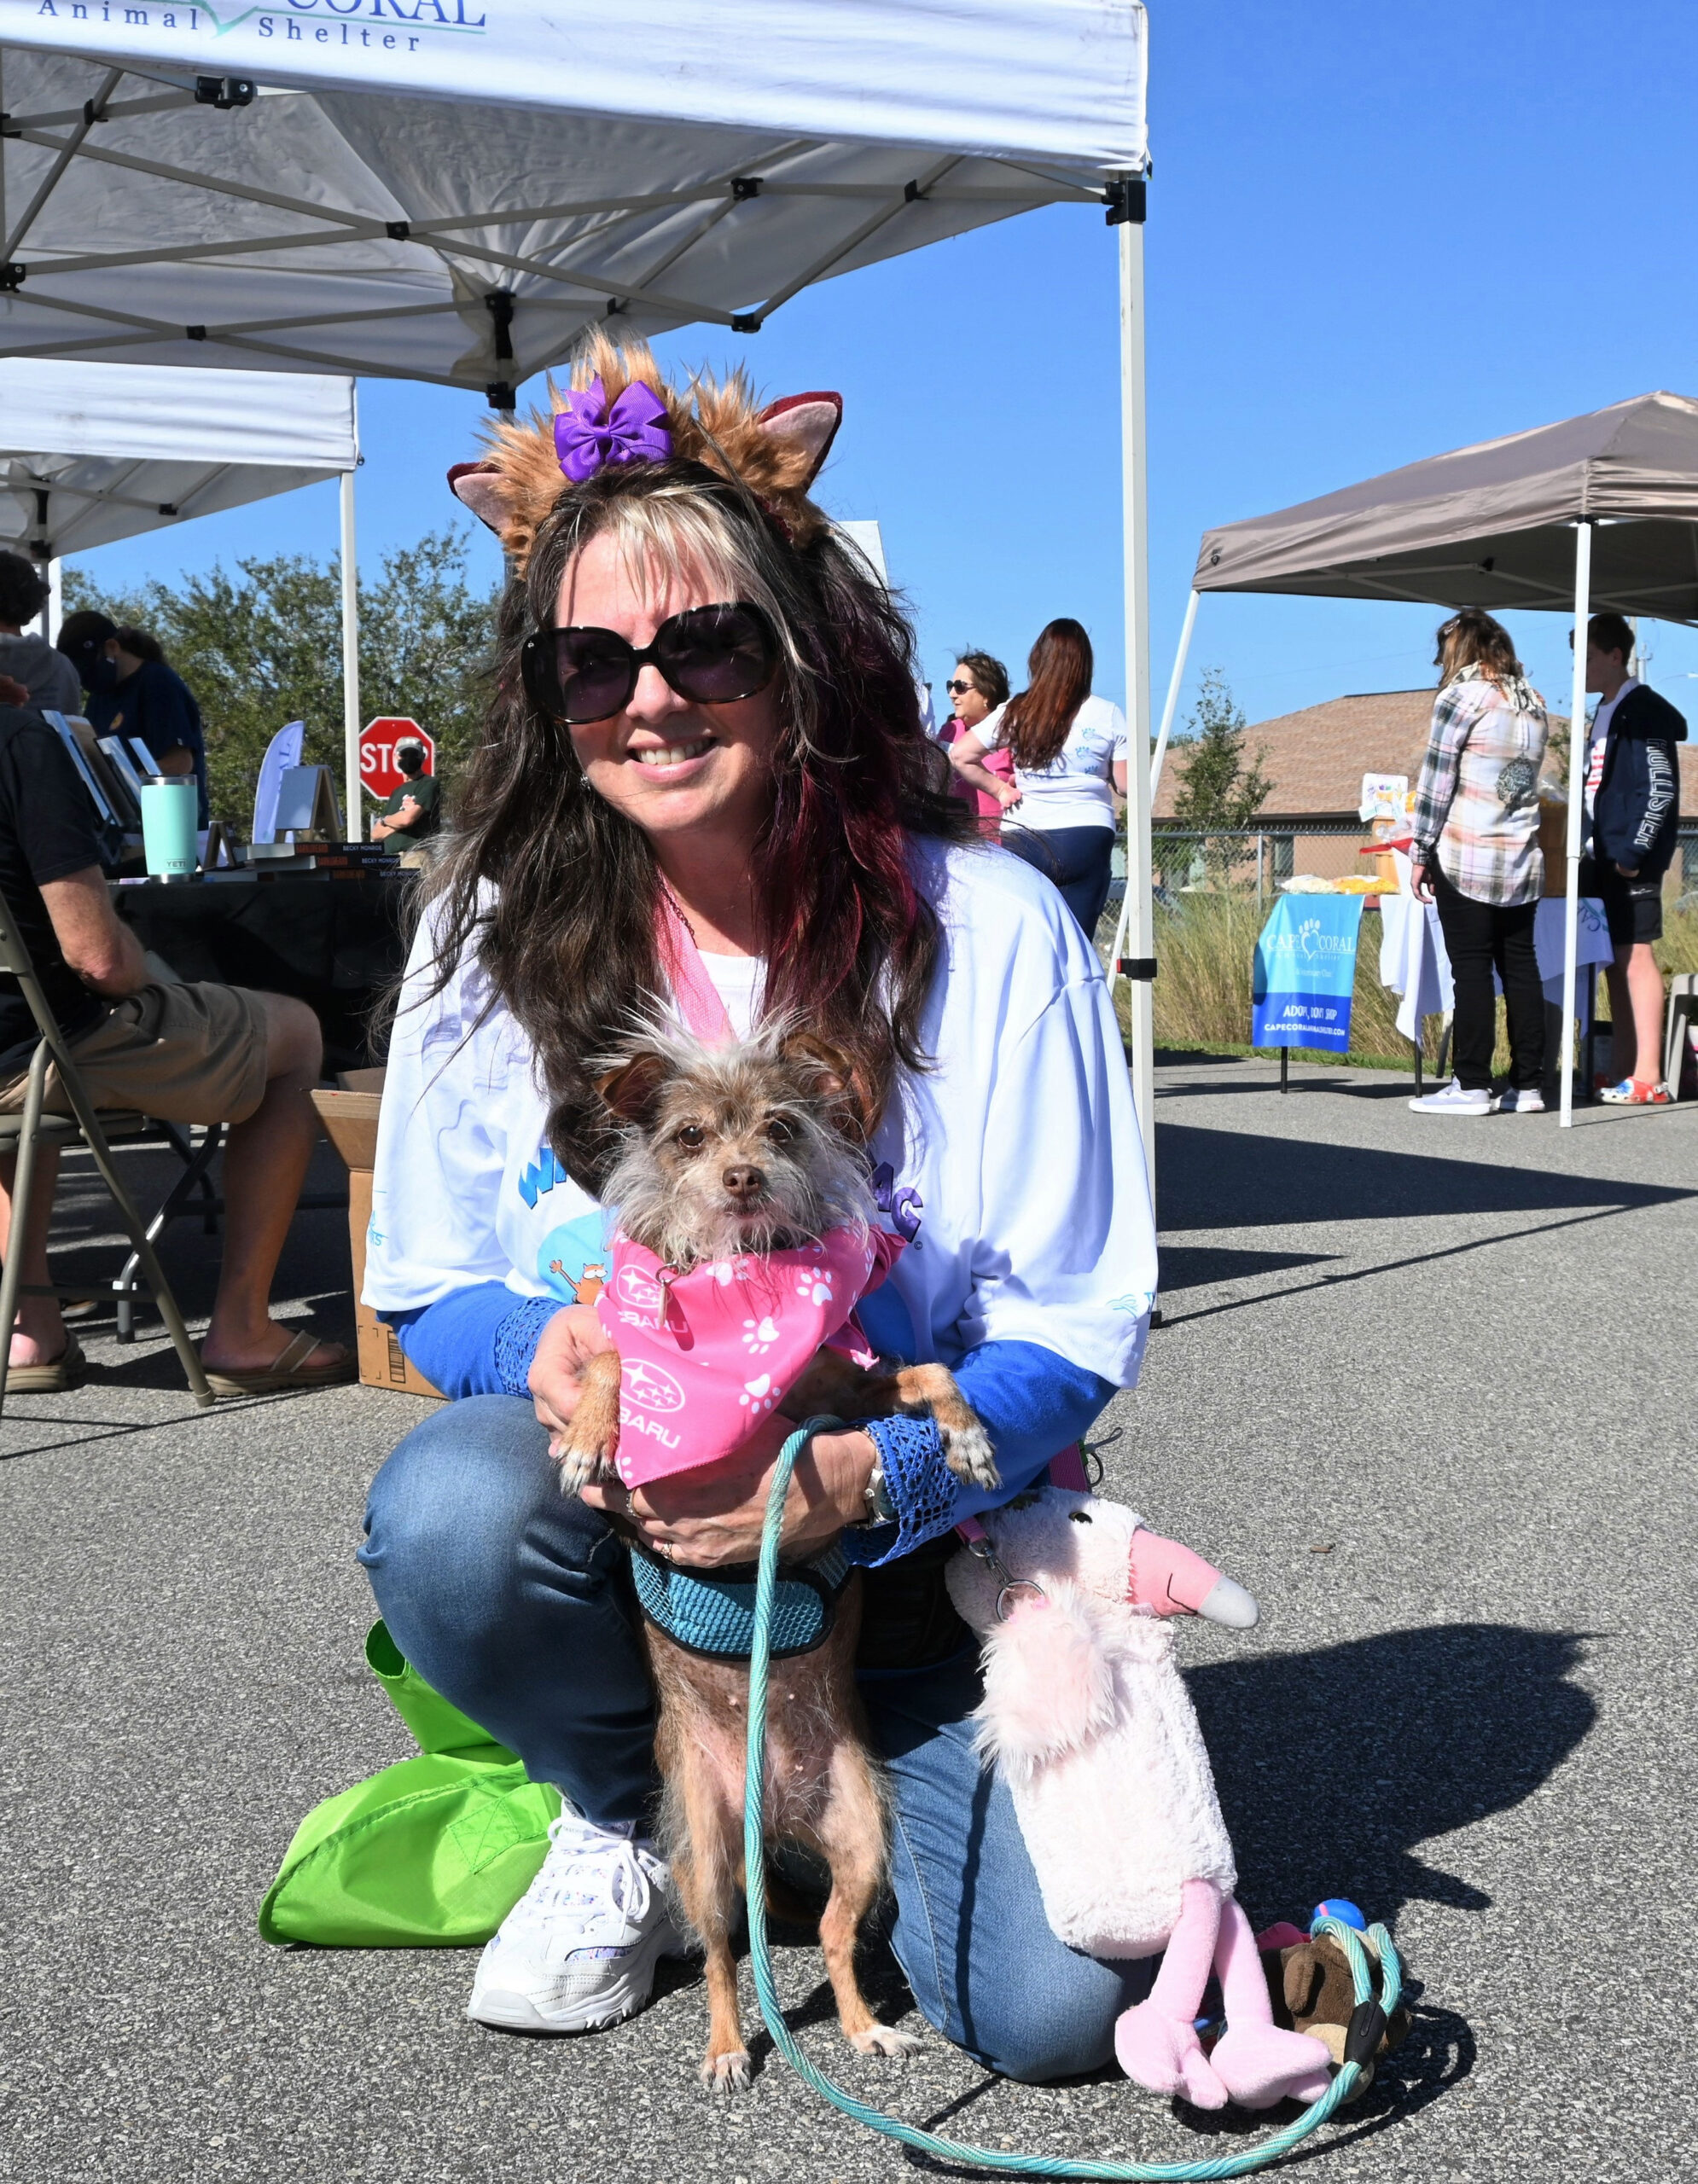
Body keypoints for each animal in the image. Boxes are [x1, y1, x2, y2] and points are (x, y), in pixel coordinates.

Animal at [550, 1022, 991, 2079]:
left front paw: (964, 1439)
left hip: (862, 1836)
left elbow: (929, 1368)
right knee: (720, 1952)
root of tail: (773, 1812)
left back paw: (866, 2026)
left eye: (781, 1128)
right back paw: (724, 2045)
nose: (743, 1175)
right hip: (705, 1856)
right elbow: (612, 1352)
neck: (734, 1290)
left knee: (831, 1938)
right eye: (690, 1135)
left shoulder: (849, 1387)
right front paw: (589, 1430)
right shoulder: (648, 1359)